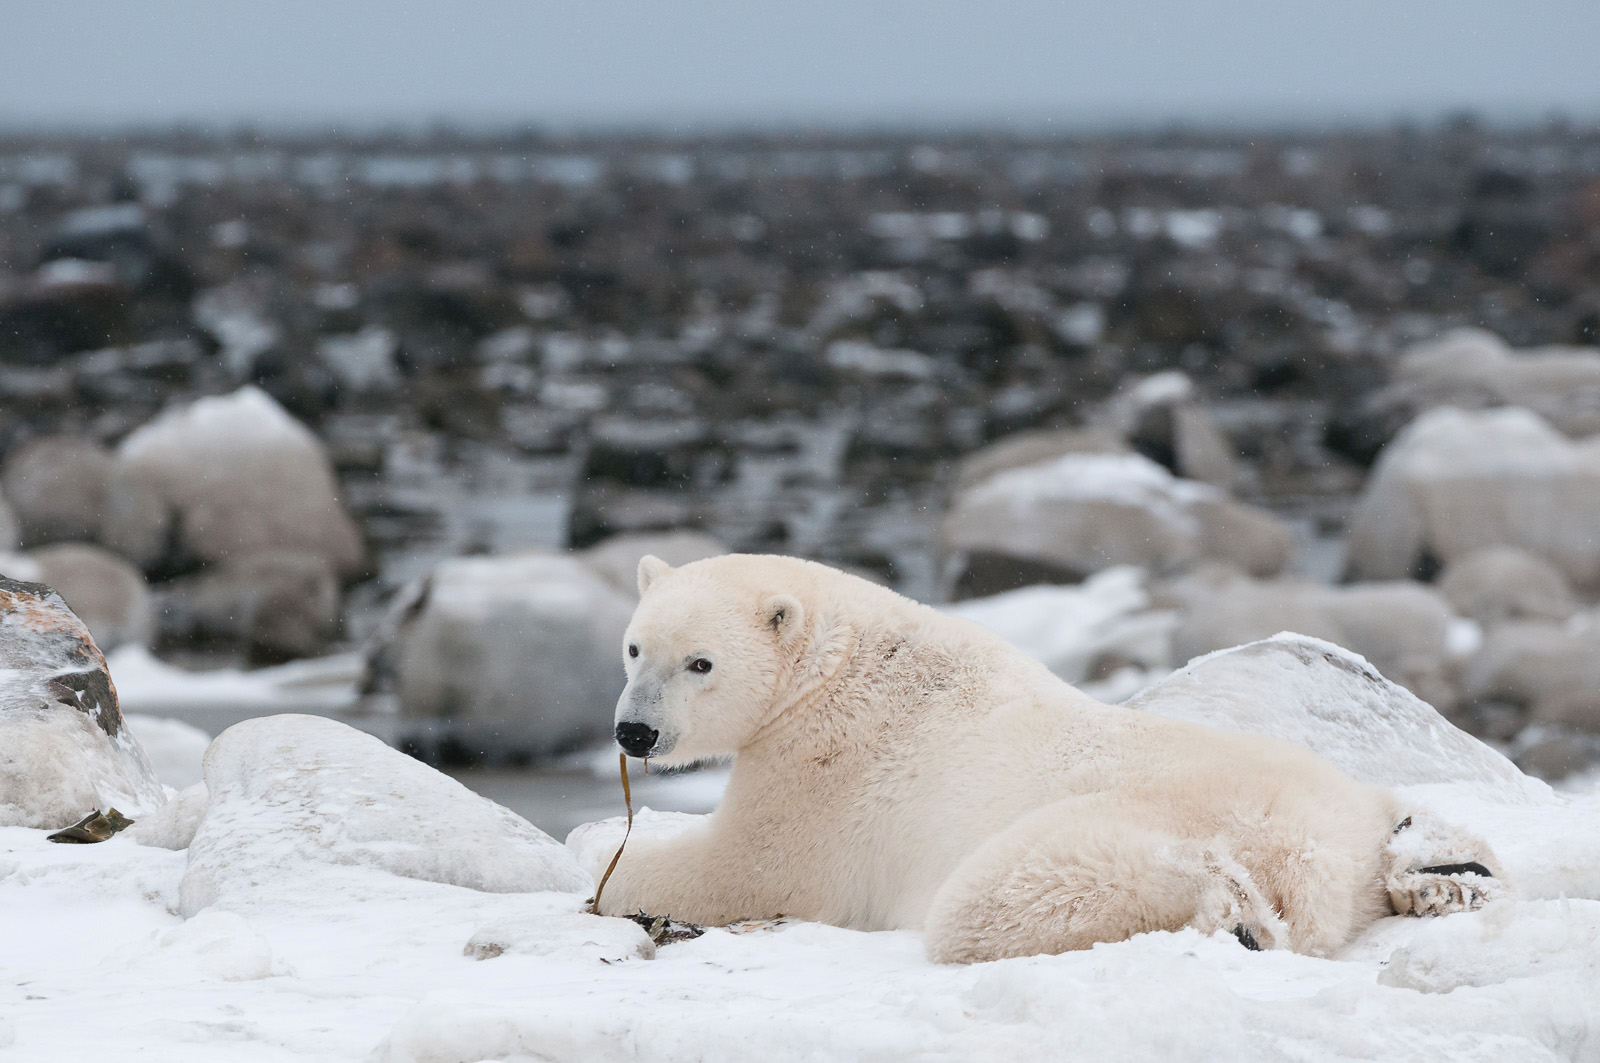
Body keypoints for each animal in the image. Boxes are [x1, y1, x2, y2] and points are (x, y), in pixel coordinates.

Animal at [595, 557, 1504, 960]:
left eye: (701, 662)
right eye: (633, 647)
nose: (633, 733)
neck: (841, 668)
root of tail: (1302, 843)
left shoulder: (824, 769)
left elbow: (742, 865)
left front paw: (610, 861)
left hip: (1135, 813)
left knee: (995, 897)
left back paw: (1233, 909)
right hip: (1333, 804)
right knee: (1383, 823)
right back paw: (1441, 870)